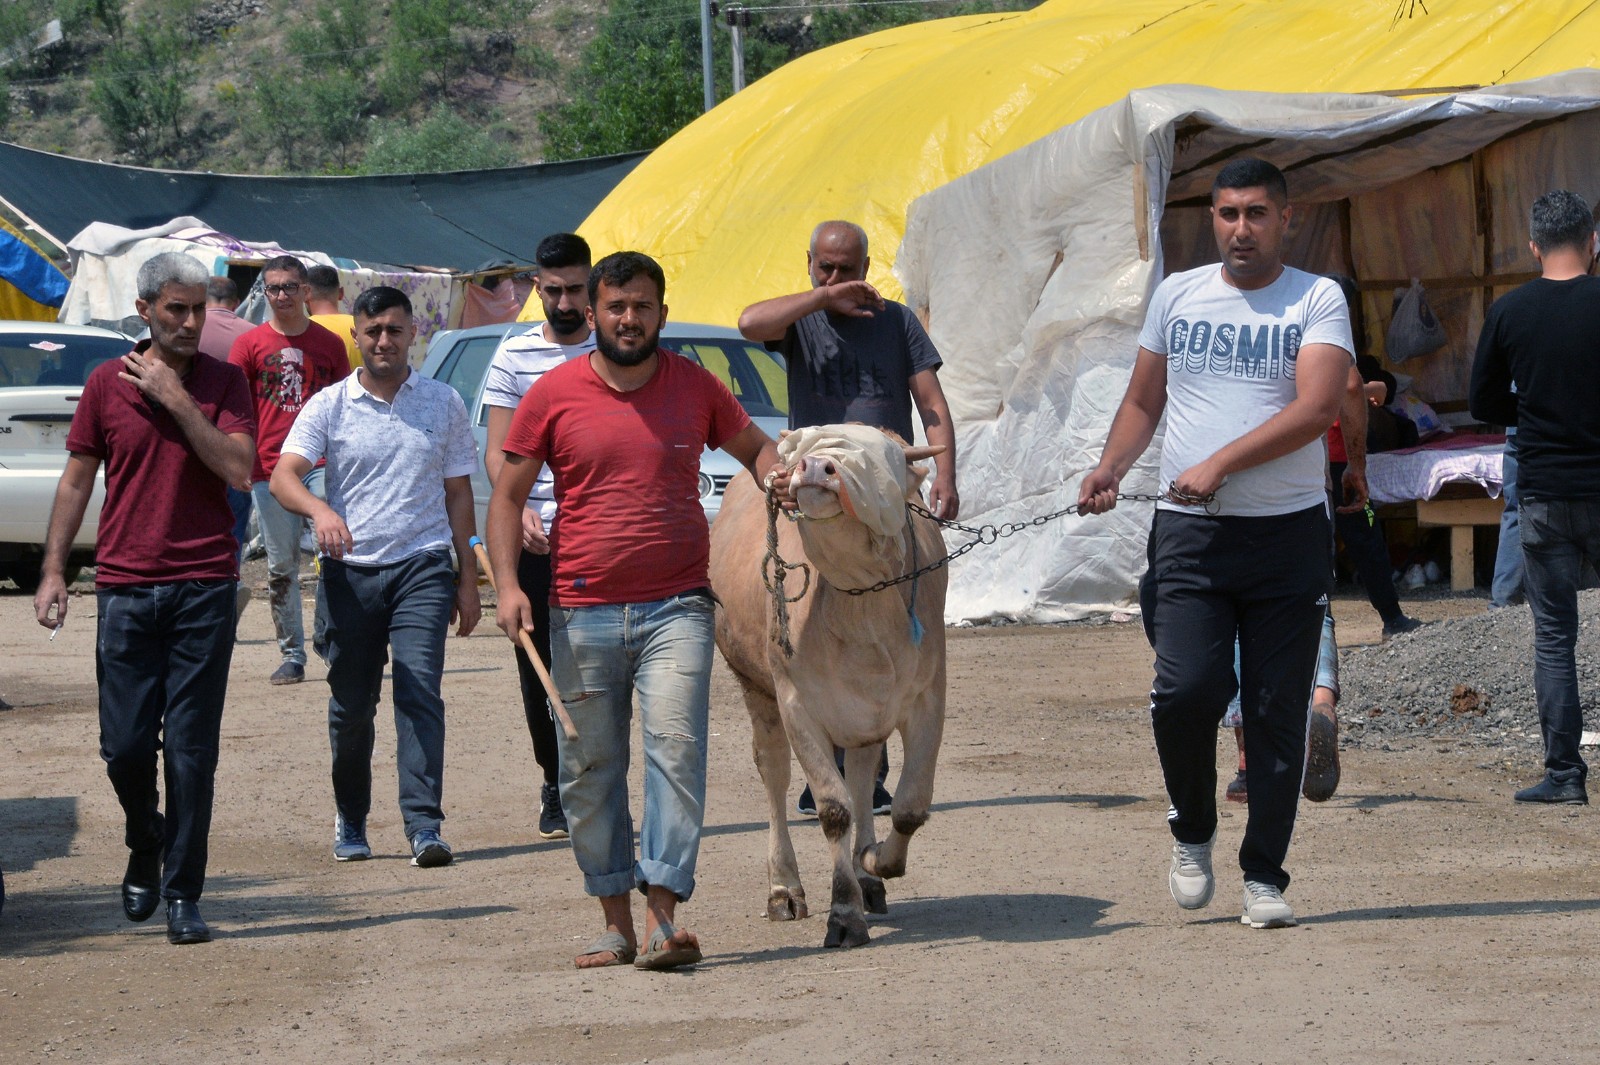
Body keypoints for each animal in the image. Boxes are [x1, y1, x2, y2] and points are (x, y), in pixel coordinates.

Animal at [709, 424, 948, 948]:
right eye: (803, 449)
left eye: (885, 455)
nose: (815, 467)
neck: (862, 606)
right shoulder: (797, 704)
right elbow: (834, 809)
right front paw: (843, 912)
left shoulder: (927, 697)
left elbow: (909, 806)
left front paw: (874, 862)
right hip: (756, 687)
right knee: (774, 773)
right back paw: (784, 888)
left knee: (860, 776)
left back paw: (866, 876)